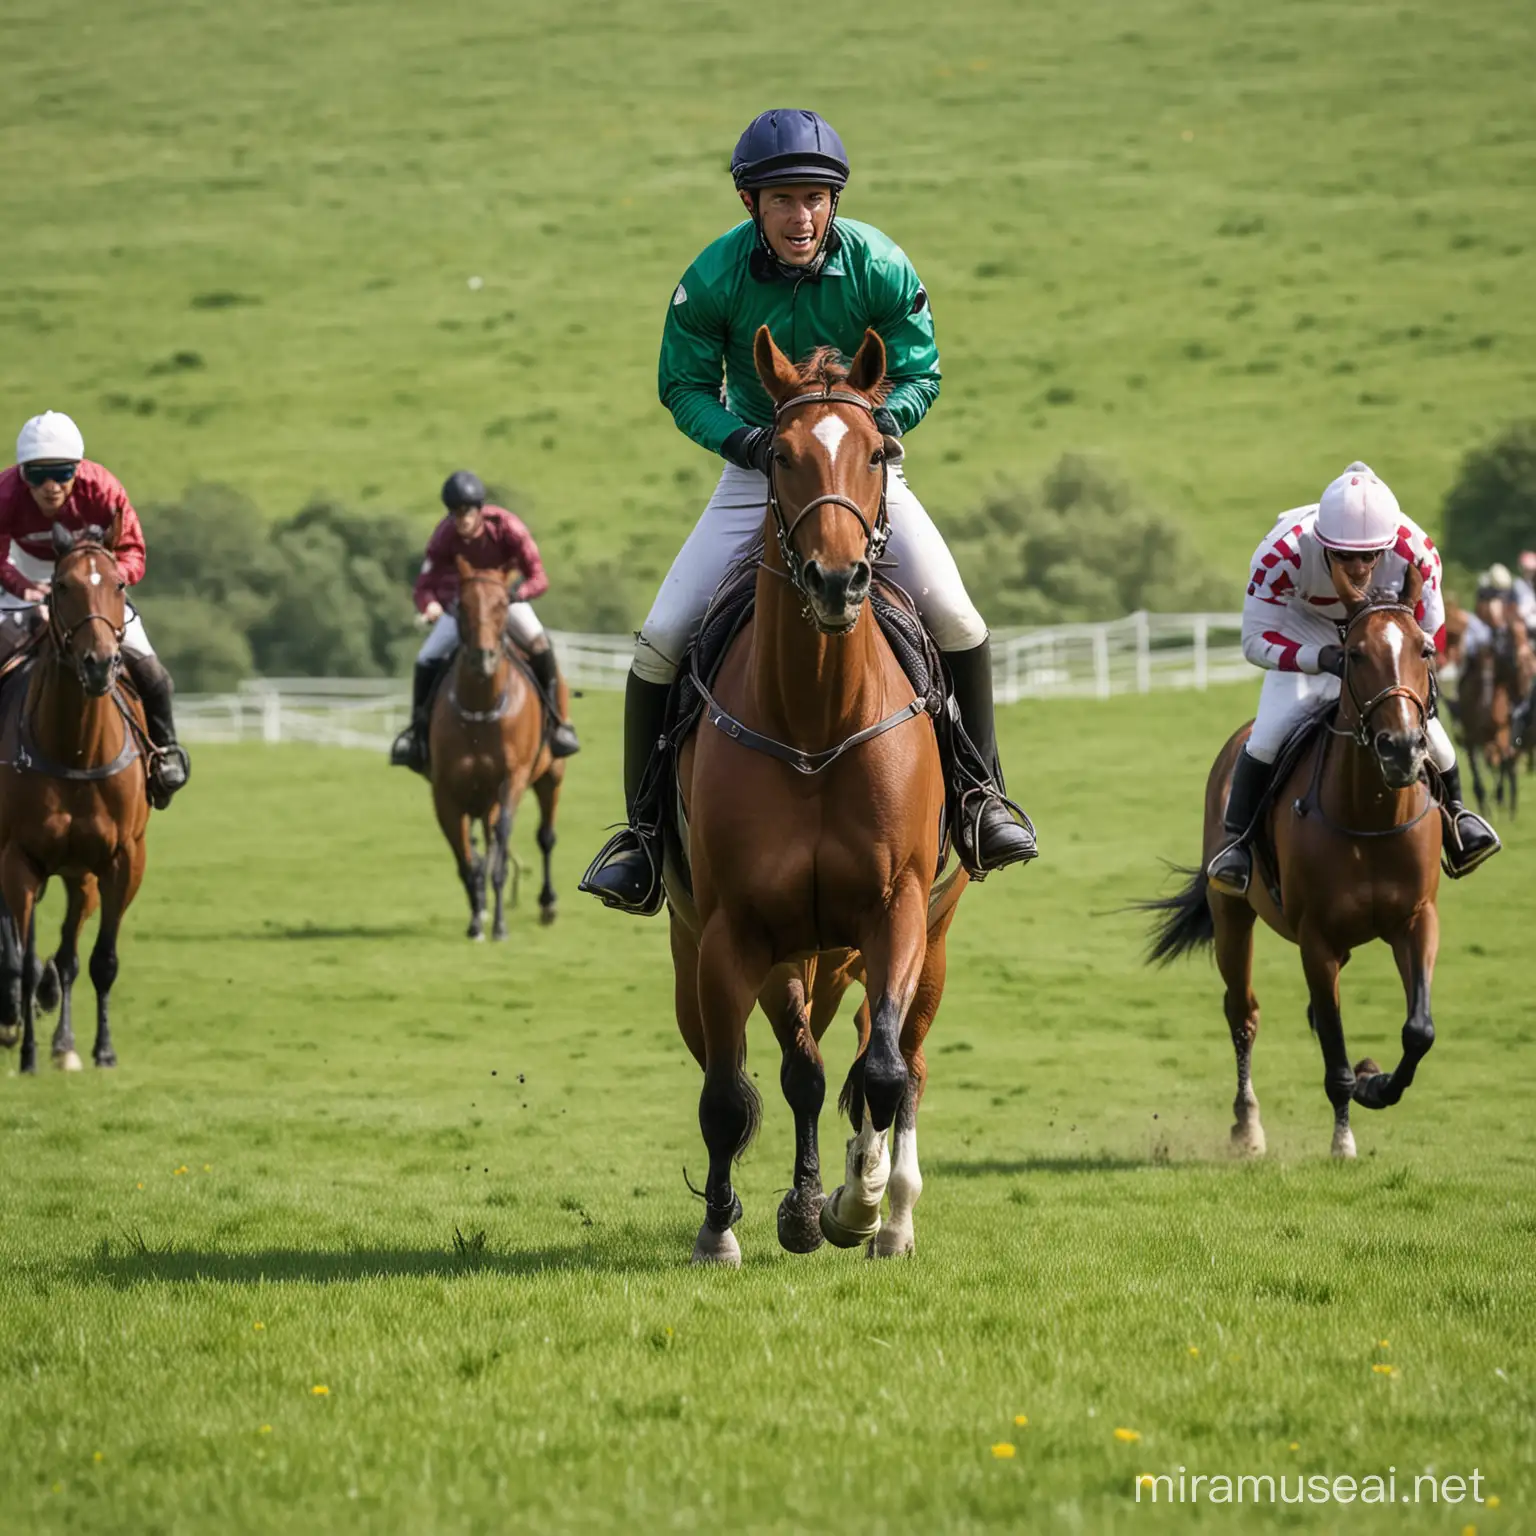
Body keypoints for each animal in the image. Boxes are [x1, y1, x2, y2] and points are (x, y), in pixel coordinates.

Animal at [0, 516, 151, 1069]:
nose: (99, 663)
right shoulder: (17, 858)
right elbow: (23, 958)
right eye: (62, 585)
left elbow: (99, 960)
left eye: (119, 584)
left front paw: (101, 1050)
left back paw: (63, 1040)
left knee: (66, 955)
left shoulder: (122, 859)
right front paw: (26, 1052)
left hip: (79, 873)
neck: (76, 750)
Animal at [430, 556, 568, 933]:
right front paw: (477, 914)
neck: (479, 710)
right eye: (462, 605)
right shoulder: (445, 792)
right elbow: (466, 857)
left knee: (545, 836)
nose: (484, 658)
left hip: (551, 773)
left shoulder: (512, 778)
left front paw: (499, 925)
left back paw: (548, 903)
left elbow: (502, 844)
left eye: (503, 604)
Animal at [666, 330, 964, 1265]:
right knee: (777, 1067)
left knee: (900, 1058)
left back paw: (888, 1214)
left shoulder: (897, 910)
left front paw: (858, 1205)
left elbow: (883, 1070)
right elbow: (737, 1092)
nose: (839, 580)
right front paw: (728, 1230)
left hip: (926, 935)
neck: (813, 725)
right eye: (782, 456)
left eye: (875, 450)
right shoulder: (733, 933)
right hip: (728, 953)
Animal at [1148, 568, 1443, 1161]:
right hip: (1232, 918)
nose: (1401, 748)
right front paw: (1343, 1138)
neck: (1370, 815)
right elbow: (1332, 1049)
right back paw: (1247, 1125)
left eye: (1424, 649)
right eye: (1353, 654)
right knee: (1243, 1013)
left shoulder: (1416, 919)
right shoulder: (1317, 940)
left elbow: (1418, 1030)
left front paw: (1377, 1083)